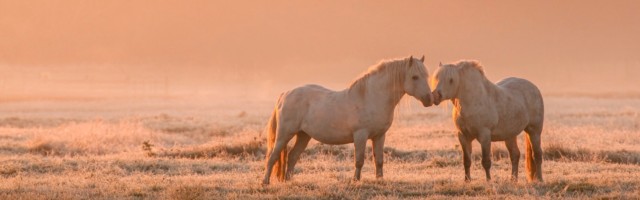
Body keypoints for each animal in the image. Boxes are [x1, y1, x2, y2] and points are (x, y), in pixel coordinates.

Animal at [262, 55, 436, 184]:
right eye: (414, 77)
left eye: (427, 76)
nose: (429, 100)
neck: (371, 97)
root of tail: (285, 94)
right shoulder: (360, 135)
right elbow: (359, 160)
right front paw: (355, 180)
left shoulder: (380, 136)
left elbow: (379, 160)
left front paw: (380, 180)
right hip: (285, 134)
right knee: (273, 156)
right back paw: (265, 182)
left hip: (303, 135)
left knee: (292, 156)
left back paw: (288, 181)